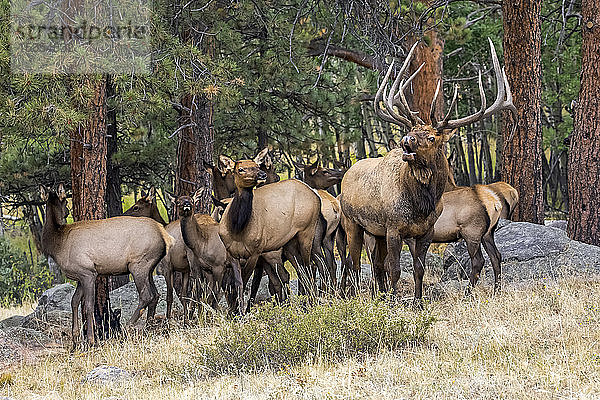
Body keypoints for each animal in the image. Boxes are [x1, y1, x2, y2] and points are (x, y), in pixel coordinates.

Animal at [40, 184, 173, 346]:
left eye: (65, 201)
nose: (67, 211)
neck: (58, 244)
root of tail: (166, 236)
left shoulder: (88, 272)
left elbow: (89, 306)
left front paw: (90, 339)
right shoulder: (80, 276)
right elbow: (74, 301)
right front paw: (75, 337)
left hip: (138, 264)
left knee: (146, 295)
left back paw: (127, 328)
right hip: (148, 267)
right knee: (155, 294)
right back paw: (149, 326)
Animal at [340, 39, 516, 304]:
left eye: (432, 137)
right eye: (412, 130)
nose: (406, 140)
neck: (421, 206)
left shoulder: (425, 232)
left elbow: (417, 268)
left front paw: (417, 302)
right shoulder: (394, 228)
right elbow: (395, 268)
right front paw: (397, 302)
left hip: (469, 232)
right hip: (355, 223)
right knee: (355, 262)